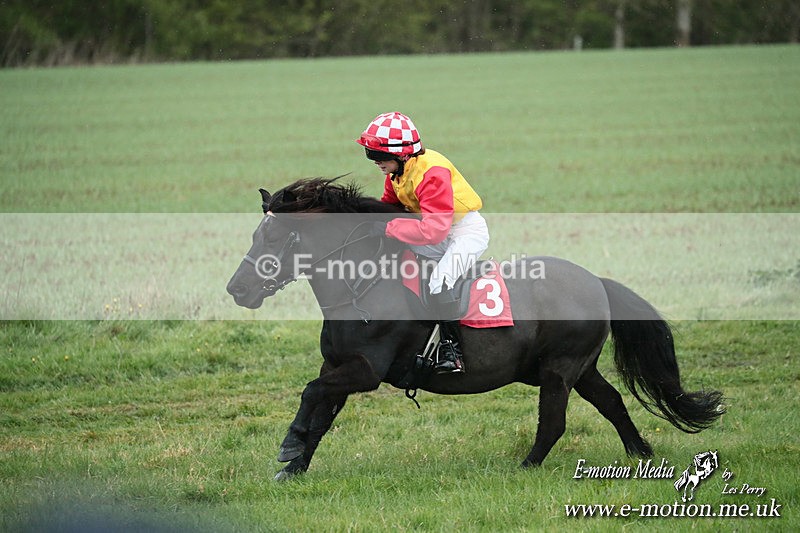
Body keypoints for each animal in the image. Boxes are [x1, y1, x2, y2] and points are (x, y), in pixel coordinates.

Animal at [226, 178, 725, 481]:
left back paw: (526, 467)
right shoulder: (339, 367)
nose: (237, 288)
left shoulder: (366, 370)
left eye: (273, 238)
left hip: (560, 369)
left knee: (554, 422)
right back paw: (641, 454)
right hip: (581, 369)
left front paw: (288, 447)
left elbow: (310, 394)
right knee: (613, 403)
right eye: (255, 235)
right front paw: (294, 464)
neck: (362, 285)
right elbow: (321, 414)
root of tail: (596, 282)